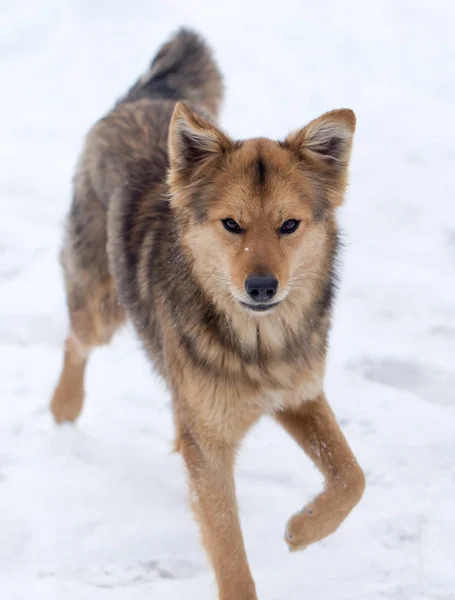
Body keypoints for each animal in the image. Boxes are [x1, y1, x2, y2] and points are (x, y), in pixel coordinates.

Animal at [50, 28, 366, 600]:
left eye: (289, 225)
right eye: (231, 224)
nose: (262, 287)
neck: (257, 341)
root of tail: (144, 99)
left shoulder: (300, 393)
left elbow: (351, 475)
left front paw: (304, 528)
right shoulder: (211, 444)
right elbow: (228, 547)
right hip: (101, 308)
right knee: (75, 339)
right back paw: (64, 410)